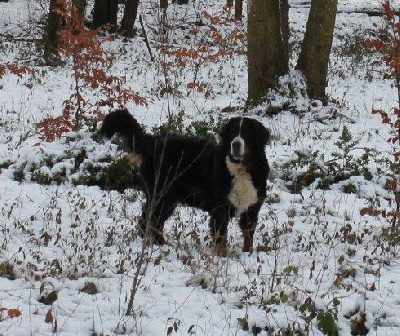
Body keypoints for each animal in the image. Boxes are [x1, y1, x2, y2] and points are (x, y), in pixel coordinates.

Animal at [100, 109, 270, 255]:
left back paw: (161, 244)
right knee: (148, 221)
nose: (235, 144)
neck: (241, 168)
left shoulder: (251, 208)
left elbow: (248, 236)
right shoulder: (220, 209)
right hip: (162, 195)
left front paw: (248, 254)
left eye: (246, 133)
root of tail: (154, 141)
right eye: (233, 133)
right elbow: (221, 237)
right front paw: (223, 257)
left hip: (167, 198)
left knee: (155, 222)